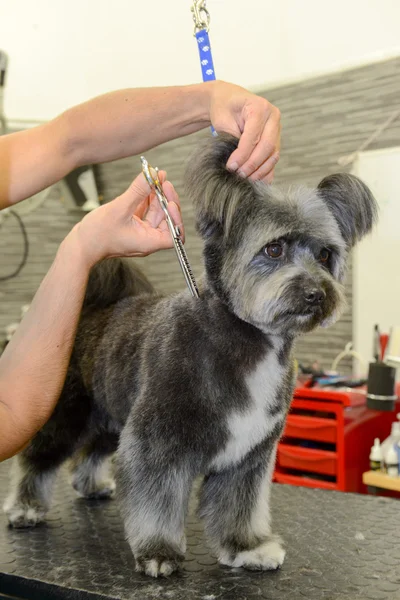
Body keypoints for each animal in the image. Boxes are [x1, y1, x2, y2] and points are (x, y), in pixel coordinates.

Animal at [3, 135, 378, 576]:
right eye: (274, 249)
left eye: (324, 255)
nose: (316, 294)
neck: (247, 340)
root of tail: (93, 308)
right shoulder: (156, 443)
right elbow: (155, 502)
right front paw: (158, 552)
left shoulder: (248, 456)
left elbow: (239, 506)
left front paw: (246, 548)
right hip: (67, 412)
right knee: (38, 458)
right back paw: (26, 507)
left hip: (112, 416)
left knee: (90, 452)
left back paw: (90, 485)